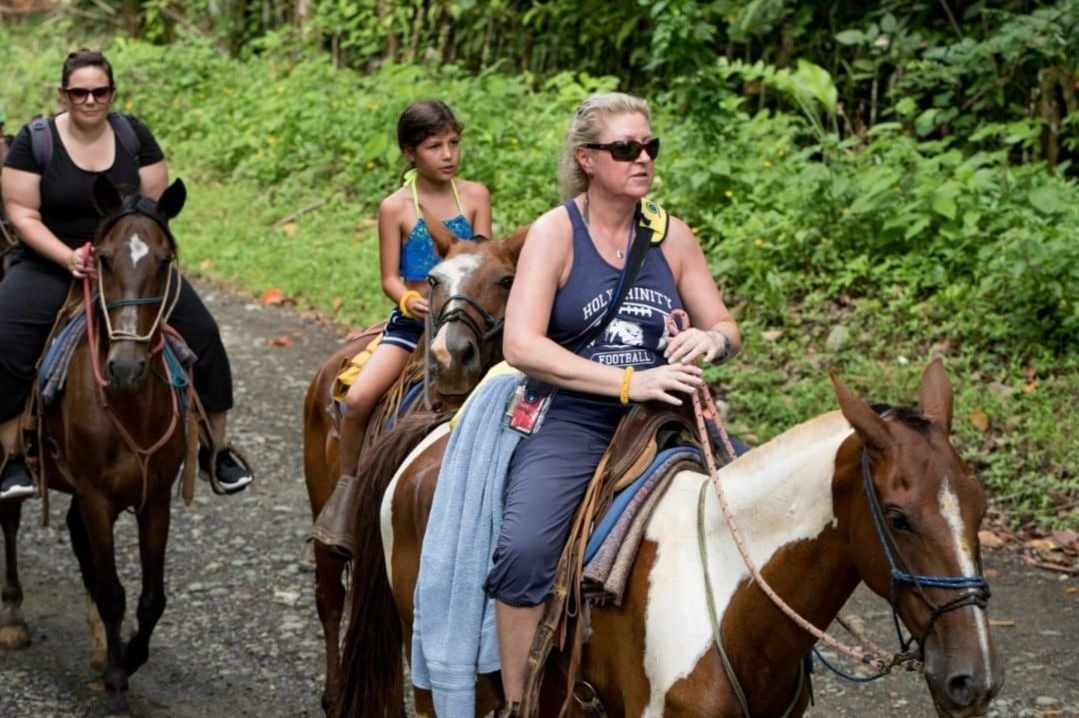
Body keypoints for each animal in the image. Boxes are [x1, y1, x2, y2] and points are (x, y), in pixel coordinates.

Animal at [0, 174, 189, 716]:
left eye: (163, 261)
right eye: (102, 258)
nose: (125, 367)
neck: (129, 406)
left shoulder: (155, 499)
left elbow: (151, 598)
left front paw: (127, 655)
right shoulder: (96, 498)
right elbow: (112, 593)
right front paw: (118, 683)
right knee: (9, 519)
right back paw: (13, 617)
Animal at [302, 222, 524, 712]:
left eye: (506, 280)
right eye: (435, 280)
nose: (451, 356)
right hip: (321, 508)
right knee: (330, 599)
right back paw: (332, 695)